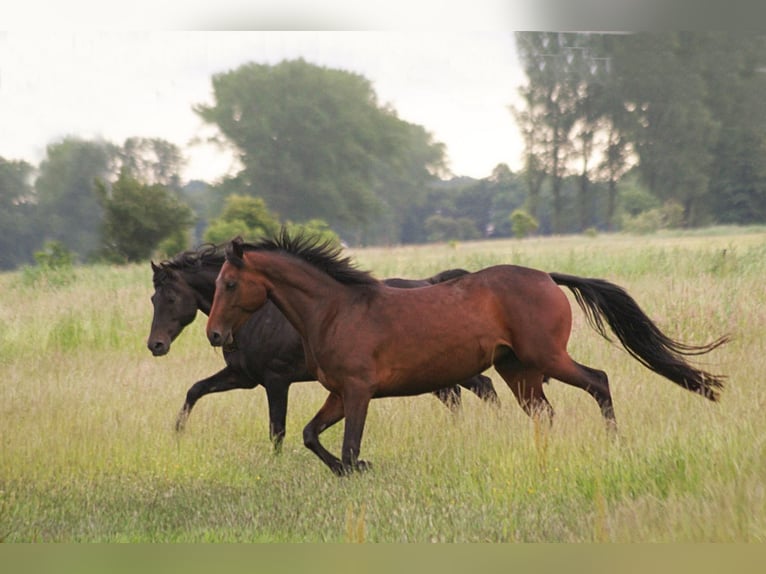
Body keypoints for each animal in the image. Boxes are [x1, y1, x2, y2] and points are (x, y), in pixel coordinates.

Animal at [148, 244, 500, 450]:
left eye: (170, 297)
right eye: (153, 298)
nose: (156, 345)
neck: (259, 315)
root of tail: (431, 282)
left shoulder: (276, 381)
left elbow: (277, 429)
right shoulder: (243, 376)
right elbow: (195, 389)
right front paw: (177, 433)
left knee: (481, 387)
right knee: (461, 394)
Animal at [206, 232, 732, 480]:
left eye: (229, 284)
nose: (214, 334)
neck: (336, 310)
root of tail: (547, 276)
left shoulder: (358, 392)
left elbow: (348, 444)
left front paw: (357, 470)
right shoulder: (338, 393)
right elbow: (311, 436)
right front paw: (349, 470)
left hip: (546, 358)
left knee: (598, 380)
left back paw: (614, 444)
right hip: (518, 370)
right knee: (545, 412)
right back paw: (544, 458)